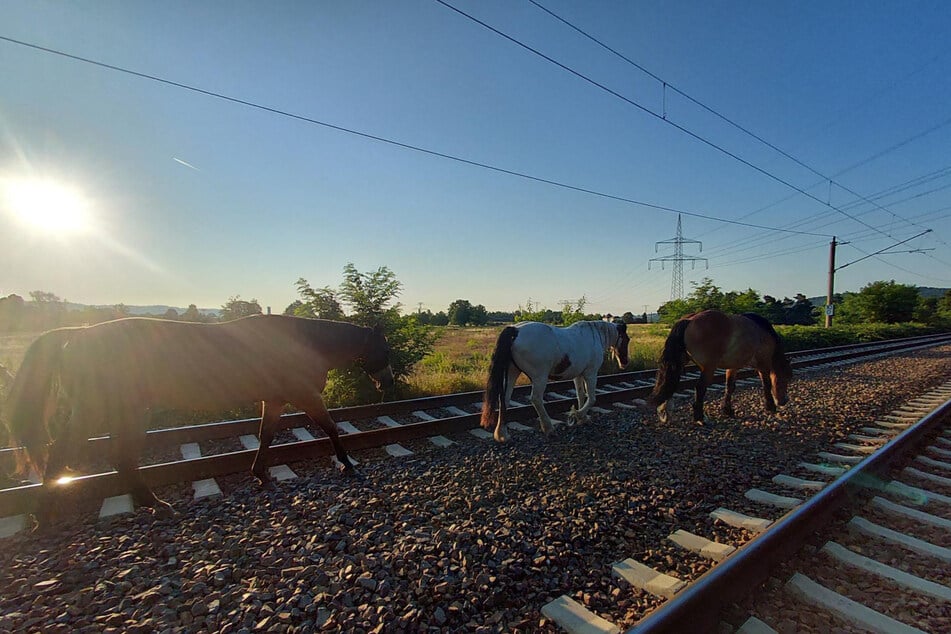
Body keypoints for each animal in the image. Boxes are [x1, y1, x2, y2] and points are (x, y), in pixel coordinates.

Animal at [2, 314, 393, 527]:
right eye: (384, 348)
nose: (387, 382)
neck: (302, 341)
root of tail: (76, 334)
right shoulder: (304, 396)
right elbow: (329, 427)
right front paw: (346, 462)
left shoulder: (275, 400)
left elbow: (266, 435)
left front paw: (261, 473)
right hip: (100, 411)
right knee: (64, 455)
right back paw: (45, 515)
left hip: (126, 411)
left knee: (121, 459)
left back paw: (151, 503)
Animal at [480, 320, 629, 442]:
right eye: (627, 339)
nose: (625, 363)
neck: (595, 336)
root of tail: (515, 330)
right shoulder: (591, 374)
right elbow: (592, 398)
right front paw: (576, 414)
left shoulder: (578, 375)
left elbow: (581, 395)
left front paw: (582, 418)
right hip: (539, 377)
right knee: (536, 399)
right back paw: (549, 429)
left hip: (512, 373)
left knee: (504, 400)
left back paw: (502, 435)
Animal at [649, 309, 791, 424]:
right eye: (785, 379)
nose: (784, 401)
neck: (764, 332)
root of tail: (689, 320)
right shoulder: (764, 364)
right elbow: (766, 384)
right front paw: (770, 406)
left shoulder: (733, 367)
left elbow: (730, 387)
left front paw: (727, 410)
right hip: (708, 368)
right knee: (700, 388)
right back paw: (700, 418)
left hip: (680, 362)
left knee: (669, 382)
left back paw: (663, 413)